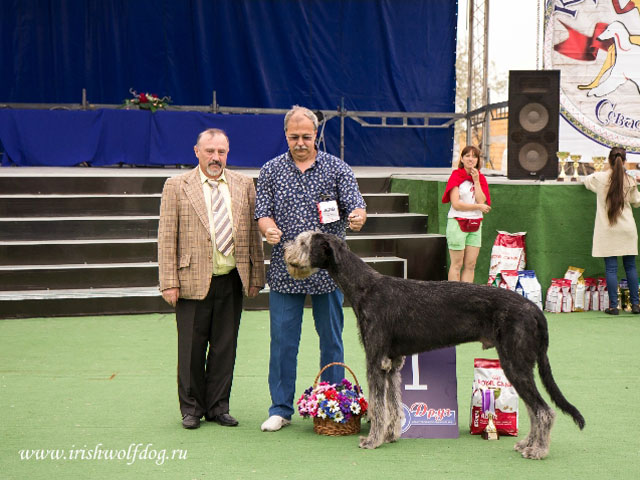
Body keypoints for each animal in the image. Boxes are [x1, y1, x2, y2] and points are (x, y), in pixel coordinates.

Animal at [284, 231, 584, 460]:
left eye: (303, 242)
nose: (284, 249)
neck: (364, 287)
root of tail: (535, 311)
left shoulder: (375, 360)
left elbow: (379, 406)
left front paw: (372, 440)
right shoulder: (392, 364)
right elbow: (393, 403)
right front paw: (391, 435)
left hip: (515, 363)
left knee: (543, 411)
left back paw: (538, 450)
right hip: (517, 365)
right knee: (535, 409)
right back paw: (527, 444)